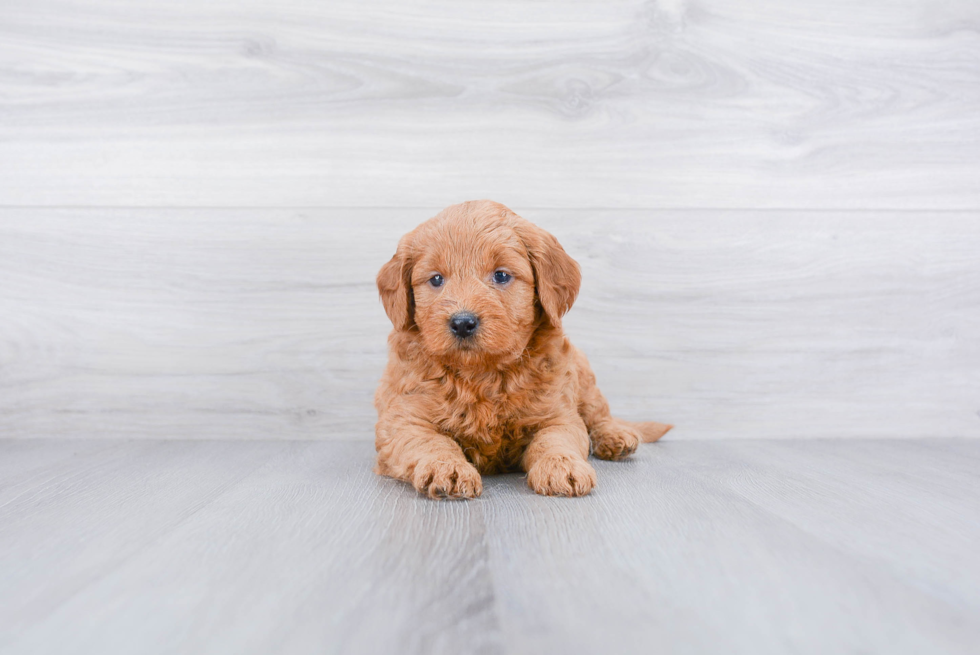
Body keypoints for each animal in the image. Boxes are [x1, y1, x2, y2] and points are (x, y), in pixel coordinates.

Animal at [372, 199, 668, 498]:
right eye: (435, 279)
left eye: (501, 275)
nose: (463, 323)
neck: (482, 374)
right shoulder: (403, 420)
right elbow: (431, 442)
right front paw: (447, 468)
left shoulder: (557, 415)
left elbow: (554, 439)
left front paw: (561, 466)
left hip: (584, 378)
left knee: (598, 414)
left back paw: (615, 436)